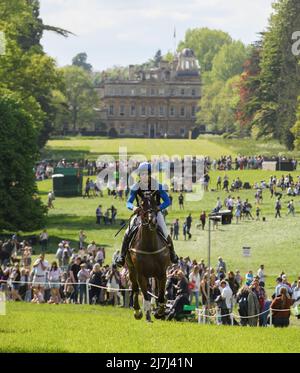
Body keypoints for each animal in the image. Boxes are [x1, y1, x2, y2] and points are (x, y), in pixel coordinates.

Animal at [125, 190, 171, 322]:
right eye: (142, 204)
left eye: (155, 203)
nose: (152, 221)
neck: (150, 246)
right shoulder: (141, 274)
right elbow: (145, 294)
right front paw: (146, 313)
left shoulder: (162, 273)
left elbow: (161, 294)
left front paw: (160, 311)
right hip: (132, 270)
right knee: (135, 288)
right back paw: (138, 311)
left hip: (154, 274)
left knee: (154, 290)